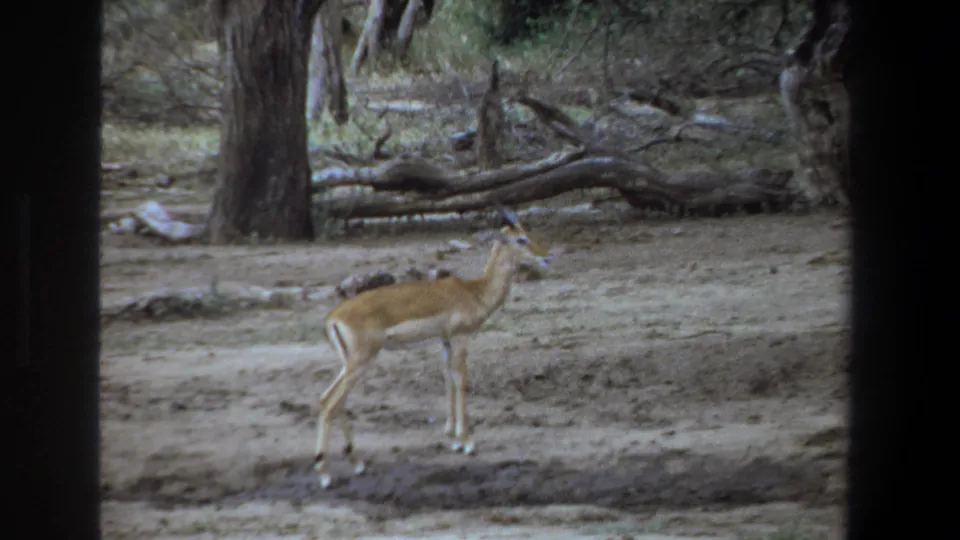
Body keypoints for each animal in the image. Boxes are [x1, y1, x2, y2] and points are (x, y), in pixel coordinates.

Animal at [314, 204, 553, 489]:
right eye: (521, 239)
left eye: (528, 232)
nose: (546, 257)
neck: (474, 292)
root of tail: (333, 317)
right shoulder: (460, 337)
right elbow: (461, 380)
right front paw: (468, 443)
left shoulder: (445, 340)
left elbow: (447, 378)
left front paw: (452, 437)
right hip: (362, 361)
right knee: (332, 402)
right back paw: (326, 474)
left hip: (350, 363)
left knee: (329, 399)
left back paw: (357, 464)